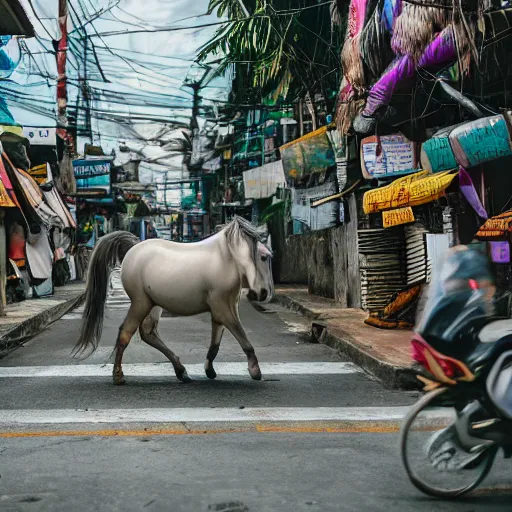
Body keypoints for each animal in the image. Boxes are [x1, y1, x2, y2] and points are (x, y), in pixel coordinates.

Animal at [74, 216, 274, 384]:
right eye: (264, 257)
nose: (264, 293)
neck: (227, 259)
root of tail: (133, 248)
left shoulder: (223, 308)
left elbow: (215, 345)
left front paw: (209, 370)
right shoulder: (222, 308)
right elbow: (242, 336)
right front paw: (255, 371)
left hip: (153, 305)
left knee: (148, 333)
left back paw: (181, 371)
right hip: (140, 302)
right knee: (126, 332)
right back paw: (118, 376)